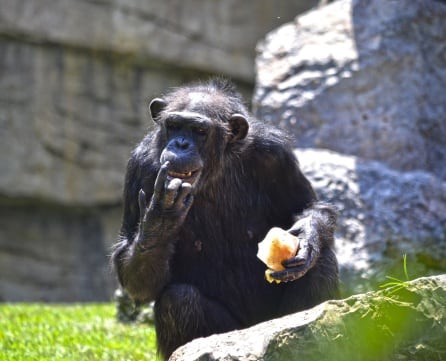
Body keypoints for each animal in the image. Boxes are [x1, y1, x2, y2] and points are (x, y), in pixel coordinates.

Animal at [111, 78, 338, 358]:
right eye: (173, 126)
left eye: (198, 130)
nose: (180, 144)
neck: (214, 172)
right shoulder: (139, 167)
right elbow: (136, 278)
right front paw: (160, 219)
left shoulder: (276, 156)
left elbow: (308, 206)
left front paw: (307, 239)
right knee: (178, 301)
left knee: (322, 263)